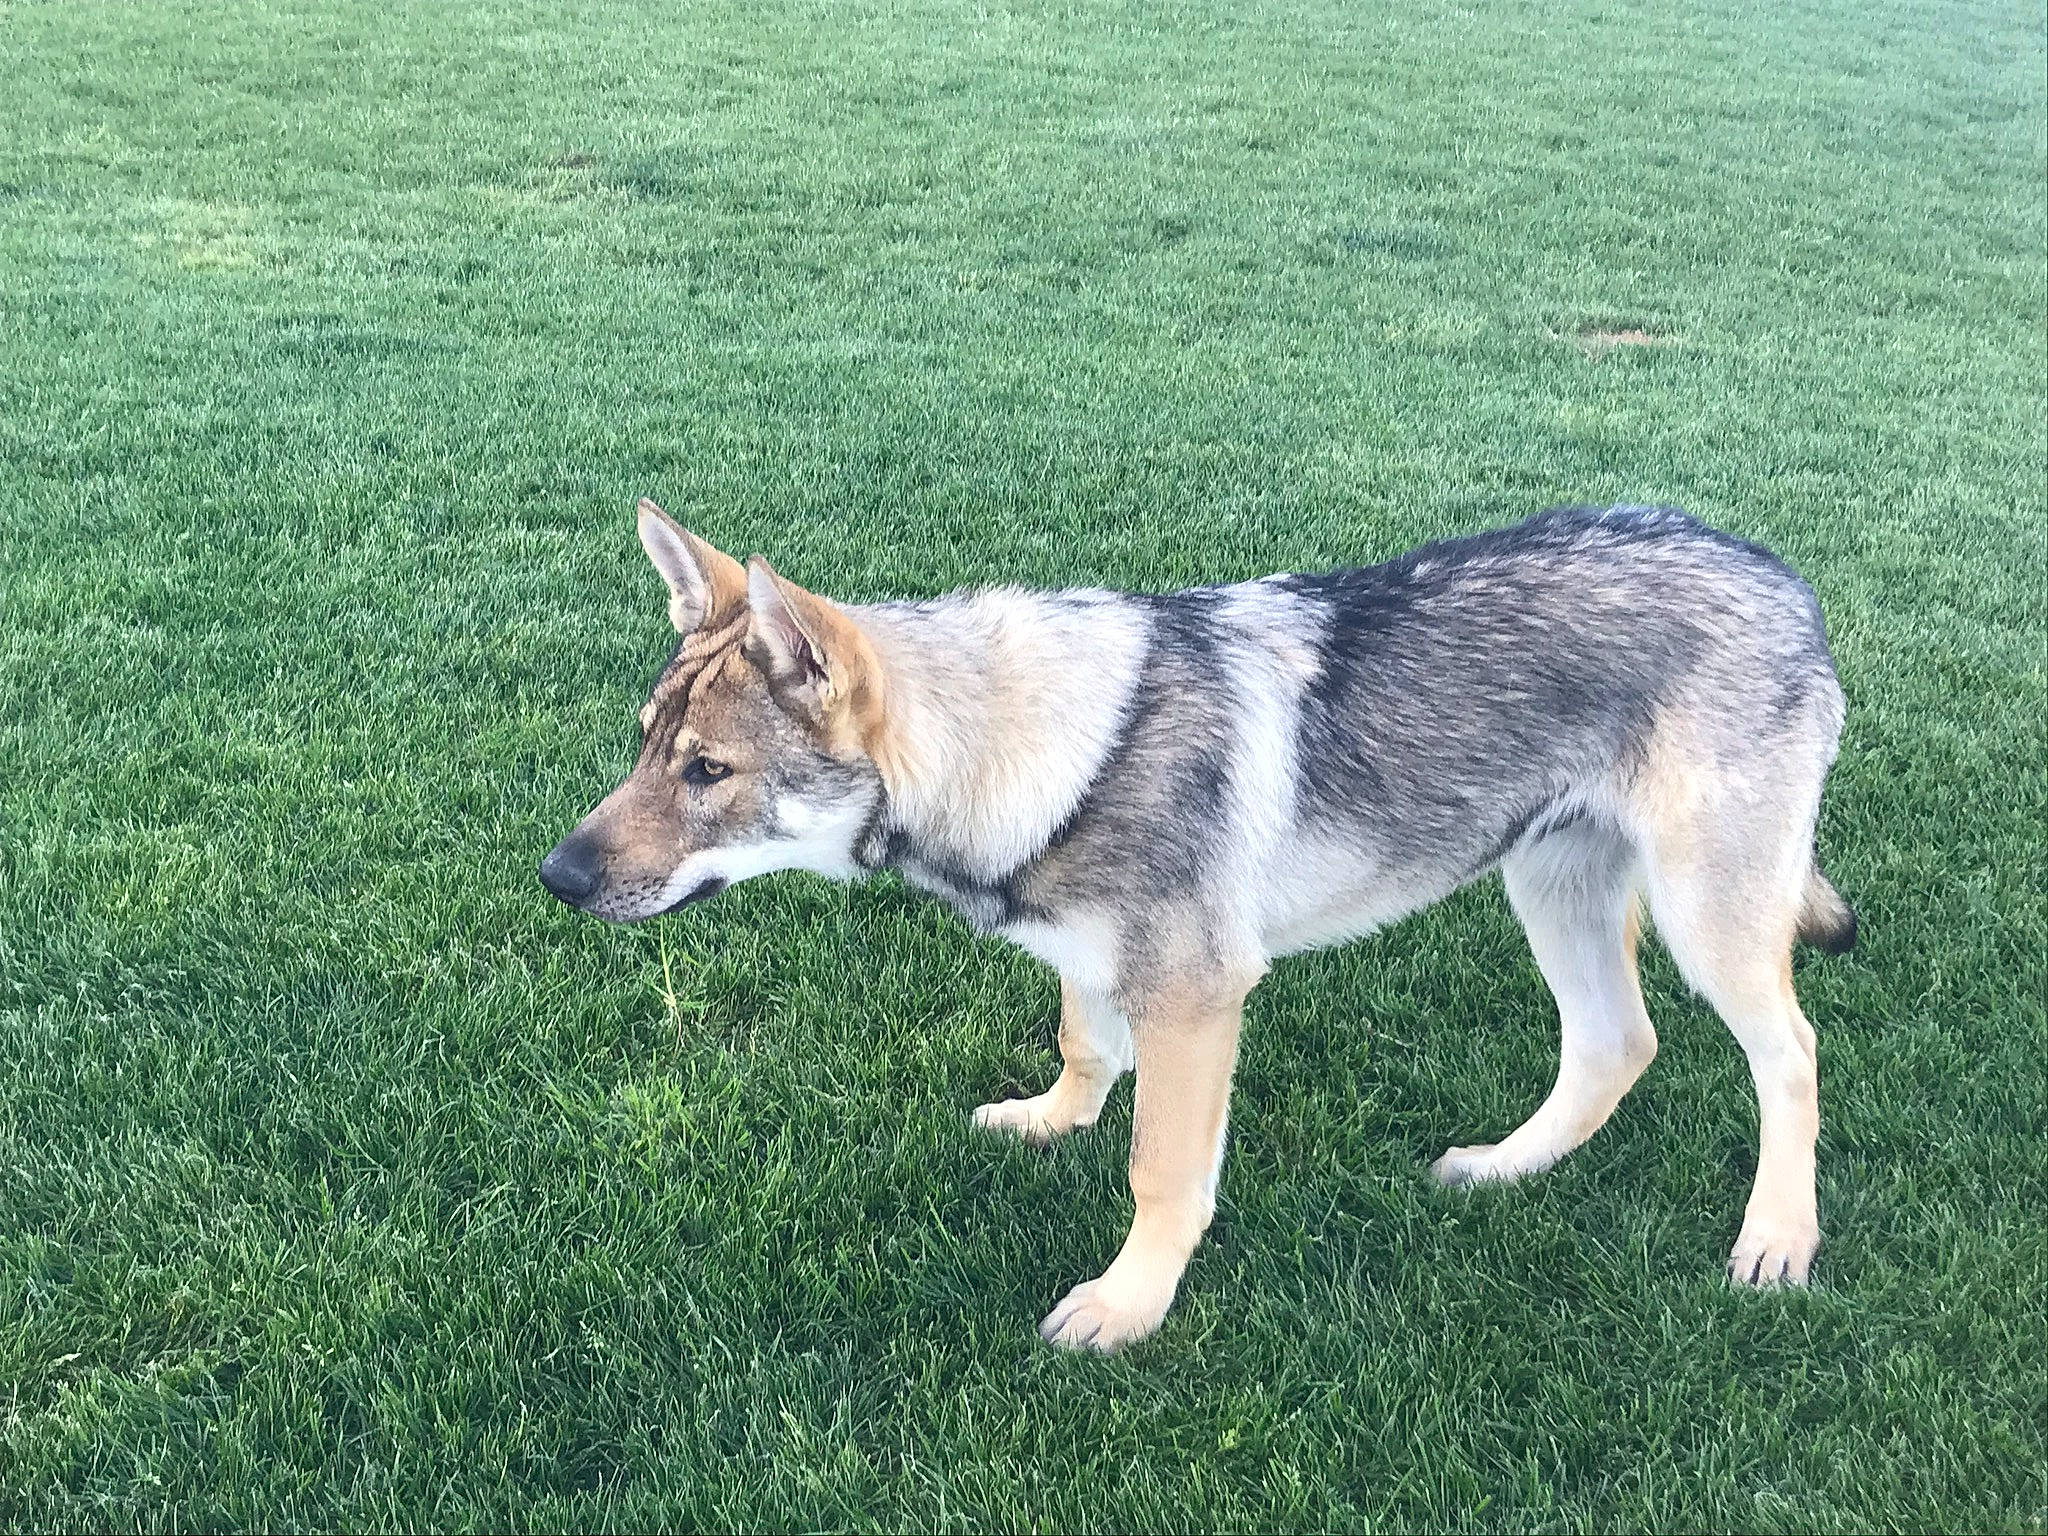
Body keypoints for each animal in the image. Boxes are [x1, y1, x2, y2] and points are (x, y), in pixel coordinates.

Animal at [541, 498, 1856, 1352]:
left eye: (707, 772)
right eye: (645, 746)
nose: (553, 876)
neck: (1033, 755)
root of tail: (1781, 576)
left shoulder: (1196, 997)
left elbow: (1161, 1172)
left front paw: (1128, 1307)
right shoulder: (1093, 964)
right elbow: (1082, 1051)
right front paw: (1049, 1123)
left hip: (1703, 919)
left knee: (1788, 1054)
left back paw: (1777, 1240)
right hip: (1551, 893)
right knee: (1614, 1046)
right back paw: (1499, 1170)